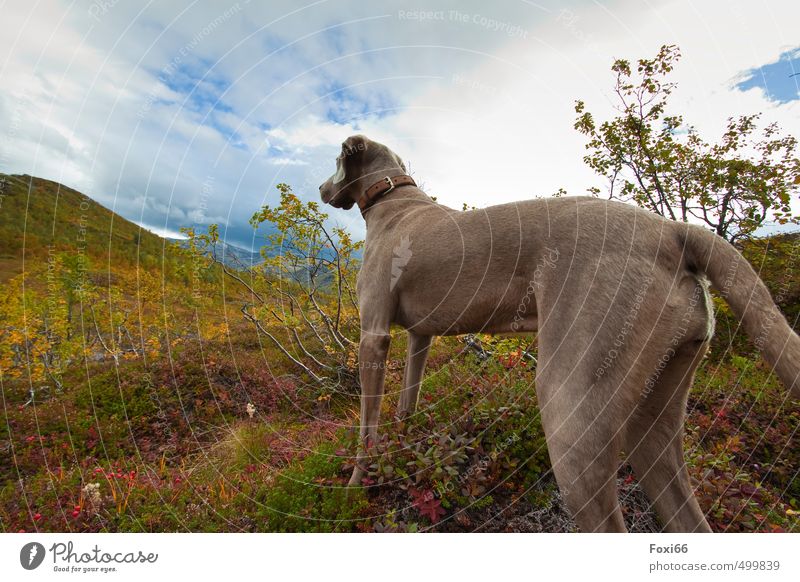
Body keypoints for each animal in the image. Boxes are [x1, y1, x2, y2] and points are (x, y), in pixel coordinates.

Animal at [318, 133, 800, 532]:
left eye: (334, 163)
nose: (321, 190)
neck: (392, 196)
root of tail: (673, 230)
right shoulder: (422, 336)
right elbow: (407, 401)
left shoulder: (373, 334)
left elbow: (367, 426)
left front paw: (356, 487)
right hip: (657, 405)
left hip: (571, 404)